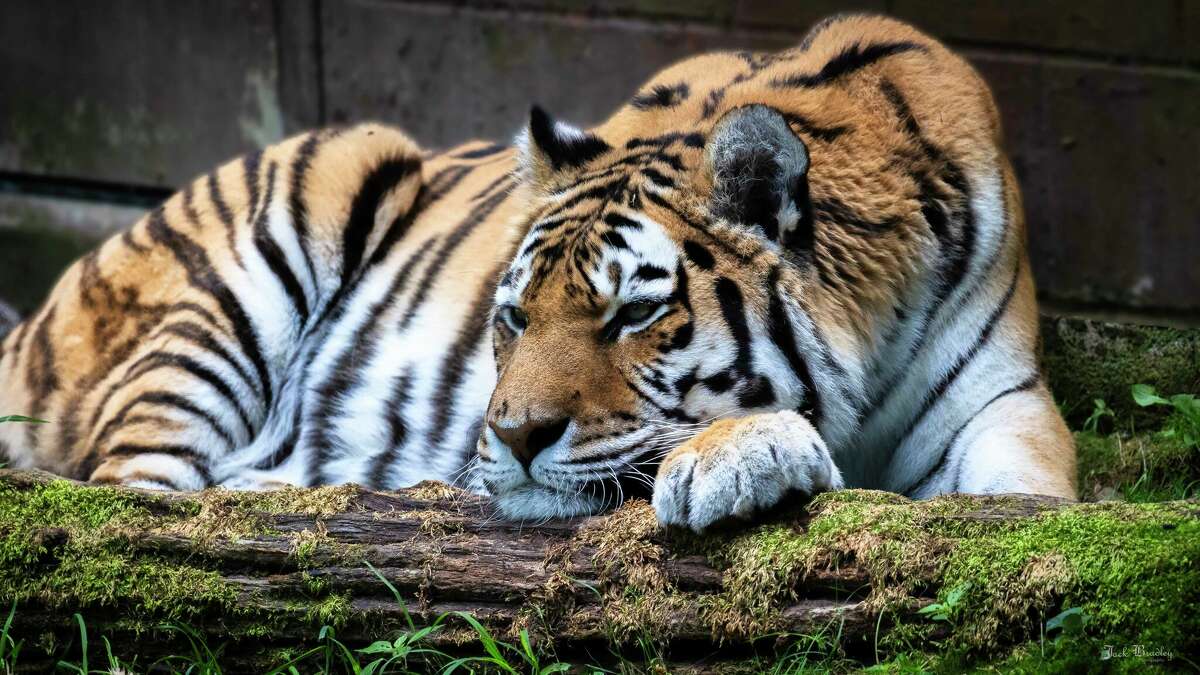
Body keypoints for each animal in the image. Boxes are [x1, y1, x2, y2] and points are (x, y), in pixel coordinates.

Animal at [0, 14, 1075, 530]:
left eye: (632, 315)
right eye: (512, 317)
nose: (510, 439)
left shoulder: (1000, 404)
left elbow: (1021, 503)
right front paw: (745, 454)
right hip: (289, 219)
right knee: (132, 501)